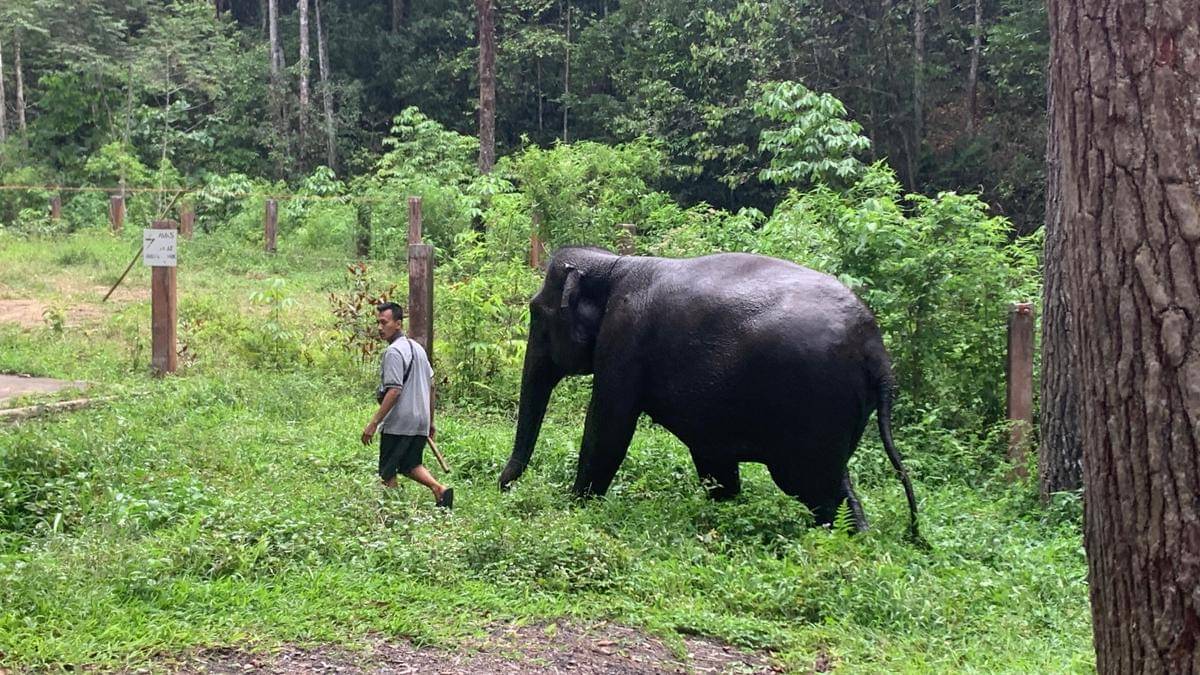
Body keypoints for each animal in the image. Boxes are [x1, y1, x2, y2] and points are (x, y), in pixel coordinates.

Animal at [499, 246, 920, 539]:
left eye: (536, 313)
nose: (502, 489)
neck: (615, 263)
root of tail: (877, 350)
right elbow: (712, 456)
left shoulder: (624, 338)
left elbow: (609, 427)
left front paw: (575, 508)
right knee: (838, 481)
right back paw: (858, 542)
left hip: (816, 405)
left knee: (812, 485)